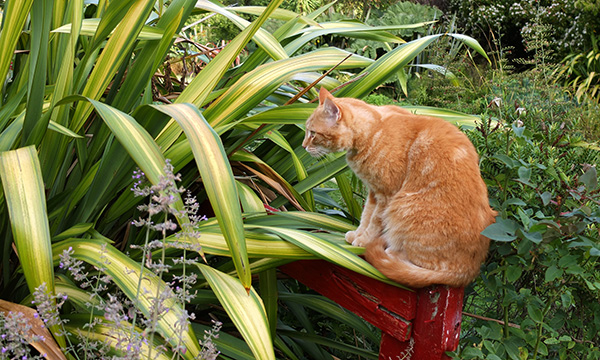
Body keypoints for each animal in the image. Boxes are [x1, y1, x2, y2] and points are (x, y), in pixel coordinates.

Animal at [302, 88, 494, 288]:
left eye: (313, 133)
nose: (303, 146)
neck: (374, 129)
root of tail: (470, 271)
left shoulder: (386, 194)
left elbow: (375, 221)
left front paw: (364, 240)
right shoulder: (373, 192)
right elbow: (365, 217)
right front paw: (357, 234)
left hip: (403, 207)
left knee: (422, 263)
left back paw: (391, 252)